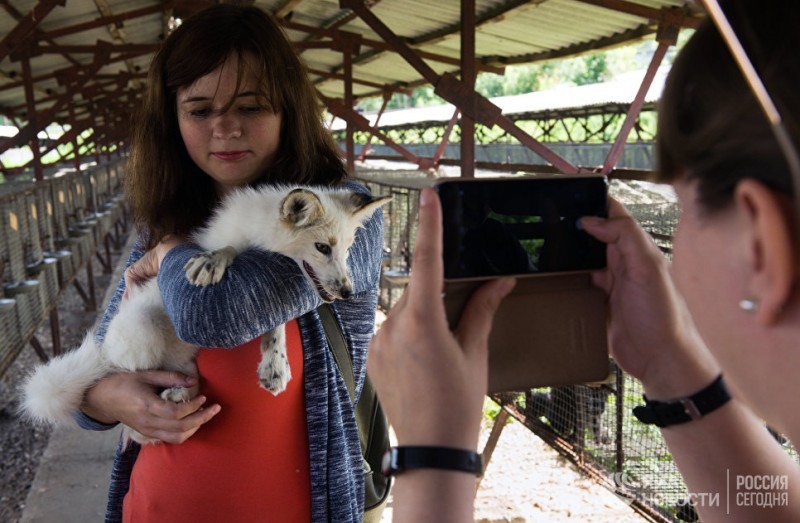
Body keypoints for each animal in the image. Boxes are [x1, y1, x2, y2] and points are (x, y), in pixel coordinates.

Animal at [21, 186, 390, 444]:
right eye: (322, 248)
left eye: (348, 249)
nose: (348, 291)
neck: (258, 241)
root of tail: (104, 353)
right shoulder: (223, 240)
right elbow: (224, 248)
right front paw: (211, 261)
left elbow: (275, 326)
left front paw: (274, 366)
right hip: (142, 335)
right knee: (133, 393)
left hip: (183, 361)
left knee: (180, 385)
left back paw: (179, 394)